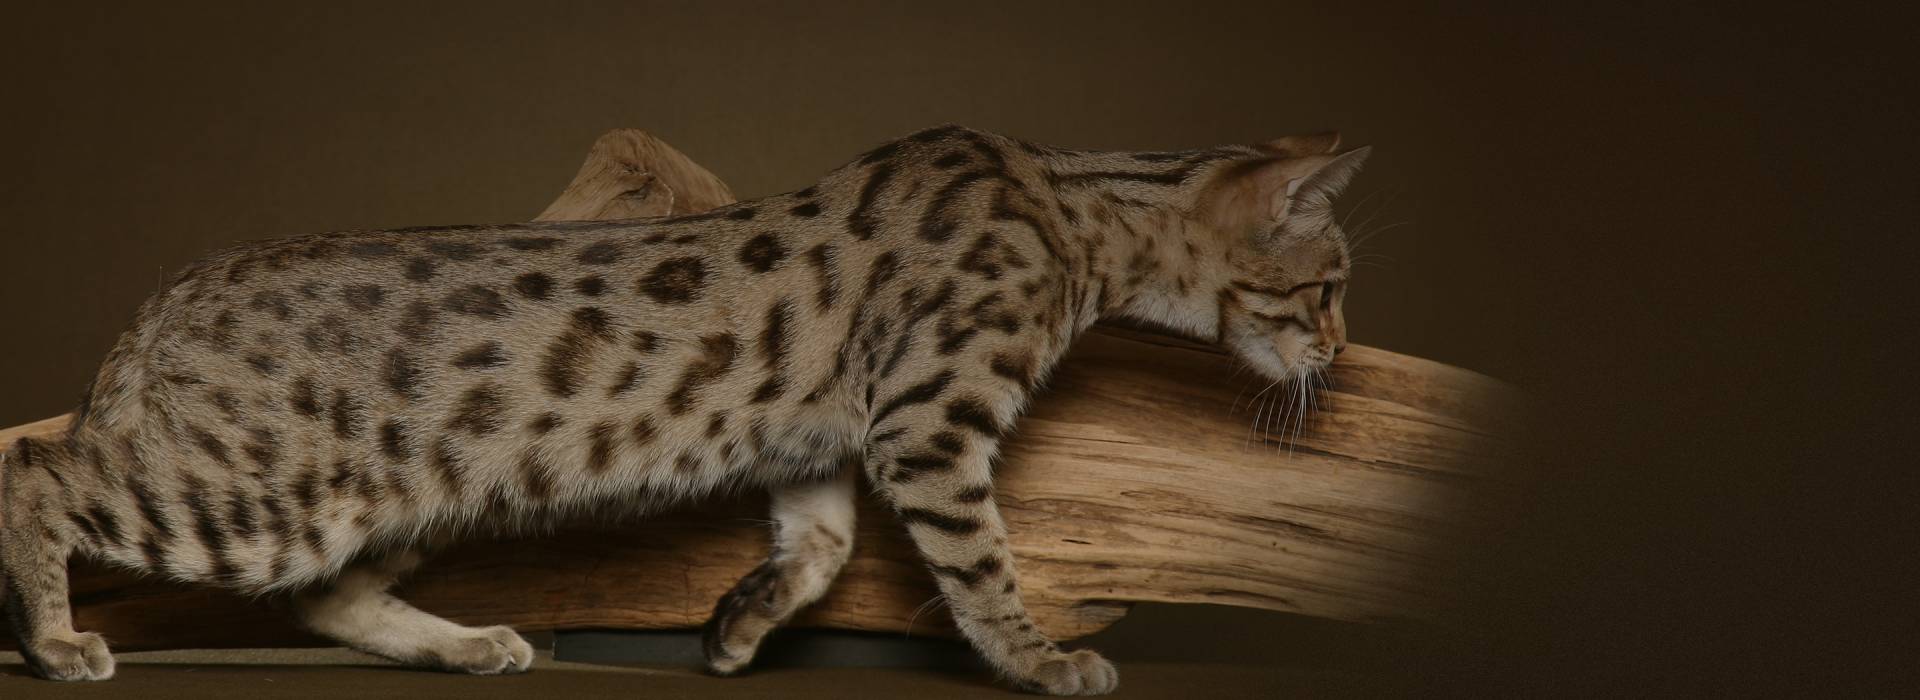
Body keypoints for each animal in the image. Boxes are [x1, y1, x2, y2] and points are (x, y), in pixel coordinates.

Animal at [0, 124, 1364, 694]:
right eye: (1333, 285)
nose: (1343, 350)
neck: (1073, 209)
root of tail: (168, 294)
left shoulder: (825, 439)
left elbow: (820, 552)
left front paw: (736, 629)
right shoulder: (926, 423)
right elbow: (985, 567)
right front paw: (1037, 660)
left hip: (397, 498)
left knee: (326, 600)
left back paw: (468, 646)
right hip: (259, 498)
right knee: (41, 472)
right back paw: (57, 641)